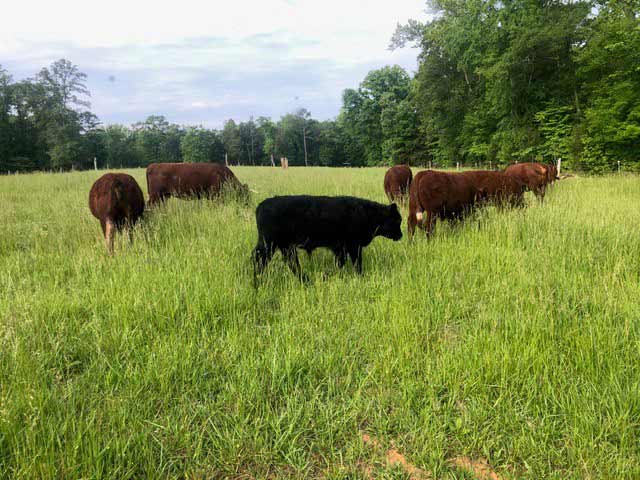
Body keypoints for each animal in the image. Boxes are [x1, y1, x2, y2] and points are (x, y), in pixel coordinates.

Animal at [252, 195, 402, 281]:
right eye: (397, 220)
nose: (401, 235)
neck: (368, 214)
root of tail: (261, 205)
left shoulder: (341, 249)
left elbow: (340, 263)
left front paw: (328, 275)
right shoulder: (353, 247)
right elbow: (356, 263)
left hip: (284, 246)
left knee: (291, 262)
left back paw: (305, 280)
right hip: (269, 244)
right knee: (259, 257)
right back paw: (257, 280)